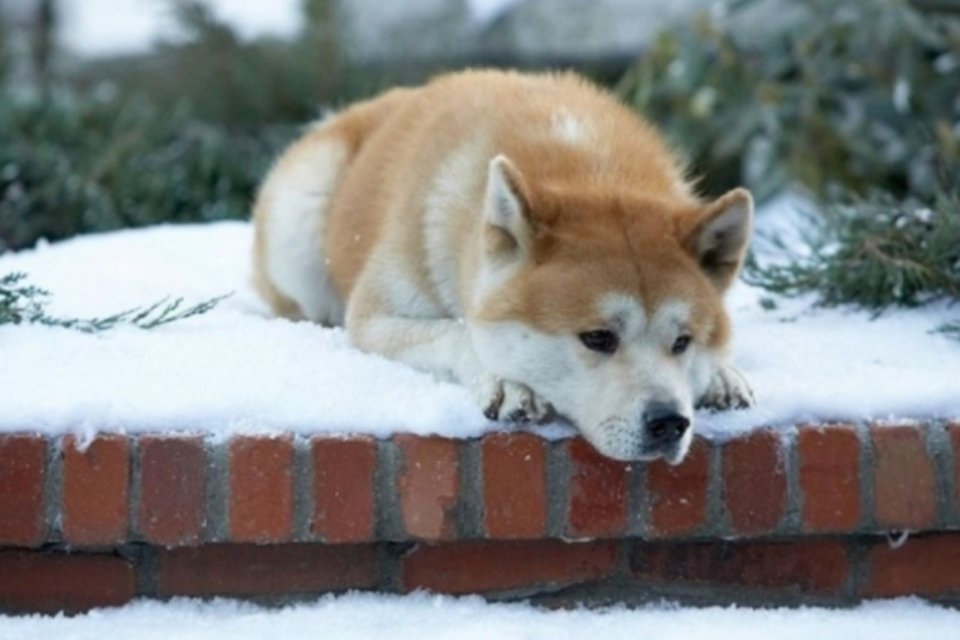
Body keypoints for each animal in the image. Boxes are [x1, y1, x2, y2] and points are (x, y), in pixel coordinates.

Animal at [251, 70, 752, 462]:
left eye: (683, 342)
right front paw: (506, 383)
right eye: (598, 338)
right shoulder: (374, 318)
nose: (669, 423)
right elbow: (456, 332)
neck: (589, 169)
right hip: (301, 217)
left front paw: (721, 375)